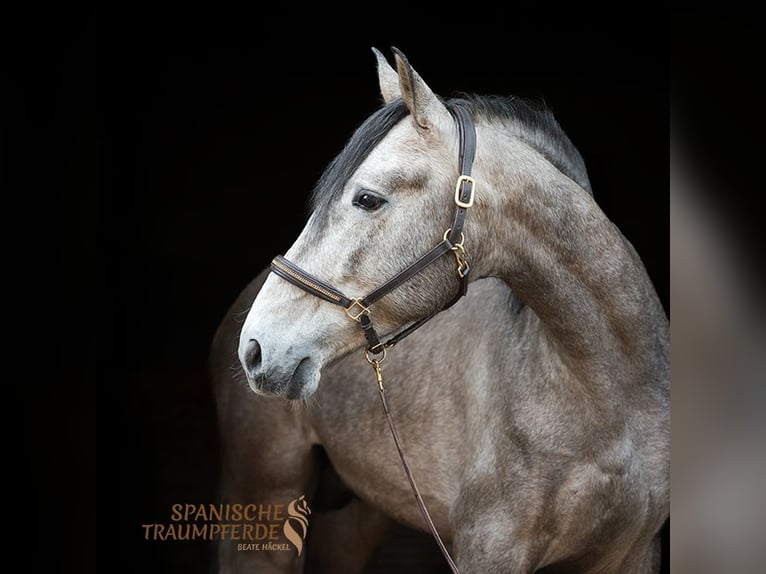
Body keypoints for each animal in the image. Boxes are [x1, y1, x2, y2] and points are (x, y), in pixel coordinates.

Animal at [210, 47, 669, 573]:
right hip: (265, 502)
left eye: (367, 198)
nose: (256, 348)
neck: (610, 397)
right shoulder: (488, 551)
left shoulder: (634, 552)